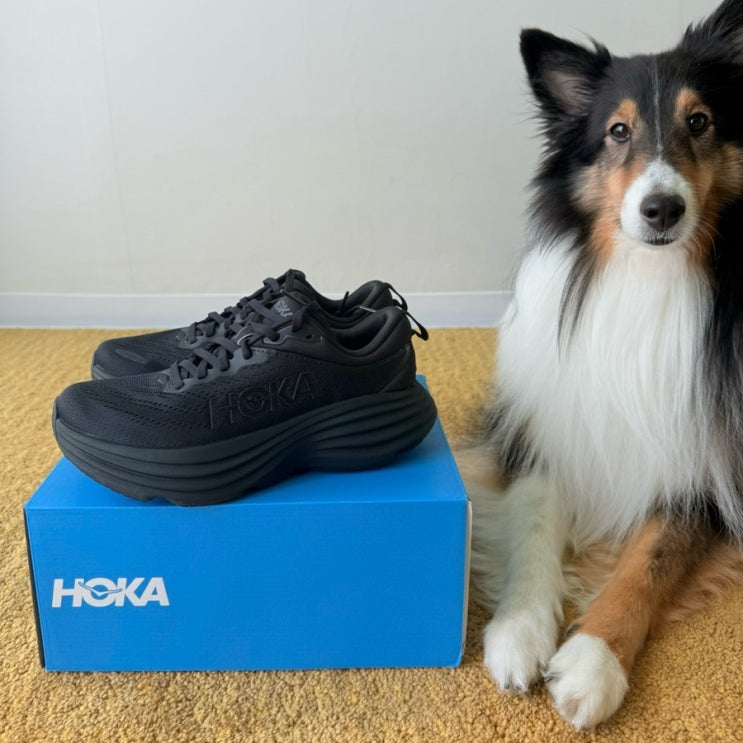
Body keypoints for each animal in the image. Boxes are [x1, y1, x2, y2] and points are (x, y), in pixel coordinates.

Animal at [467, 0, 743, 730]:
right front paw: (518, 630)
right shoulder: (546, 429)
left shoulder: (706, 465)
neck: (646, 275)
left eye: (699, 121)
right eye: (618, 131)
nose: (661, 209)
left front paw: (593, 661)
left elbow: (648, 561)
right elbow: (534, 523)